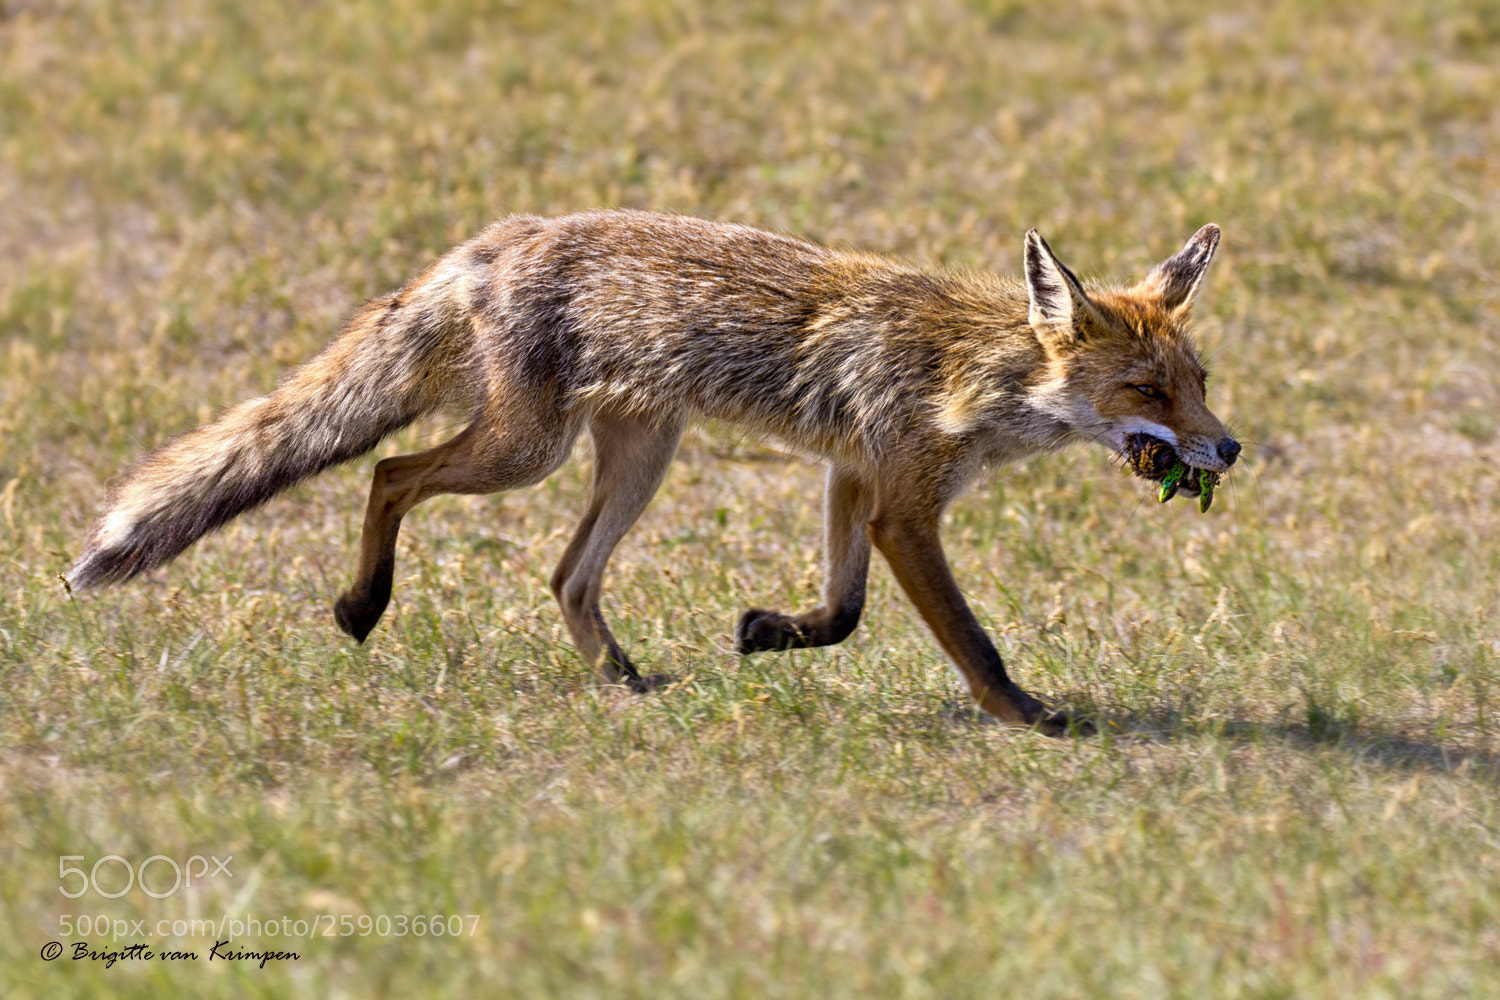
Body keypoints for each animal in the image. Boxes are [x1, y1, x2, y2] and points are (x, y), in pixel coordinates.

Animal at [66, 209, 1238, 736]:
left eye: (1201, 380)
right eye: (1148, 389)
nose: (1229, 450)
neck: (974, 372)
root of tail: (492, 239)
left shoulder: (852, 478)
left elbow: (843, 611)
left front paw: (768, 633)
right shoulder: (903, 506)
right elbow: (971, 640)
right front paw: (1029, 717)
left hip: (637, 459)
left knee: (563, 576)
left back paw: (618, 676)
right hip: (523, 452)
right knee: (391, 474)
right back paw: (364, 604)